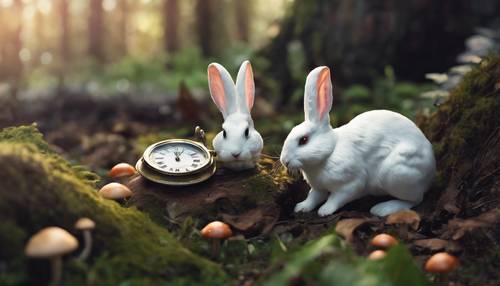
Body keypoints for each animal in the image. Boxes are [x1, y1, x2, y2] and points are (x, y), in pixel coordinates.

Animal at [280, 65, 436, 217]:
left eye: (303, 140)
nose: (284, 161)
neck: (330, 152)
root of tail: (431, 169)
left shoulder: (351, 183)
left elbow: (336, 198)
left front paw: (325, 210)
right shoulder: (318, 188)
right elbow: (313, 196)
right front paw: (301, 207)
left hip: (397, 173)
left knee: (415, 200)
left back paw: (382, 209)